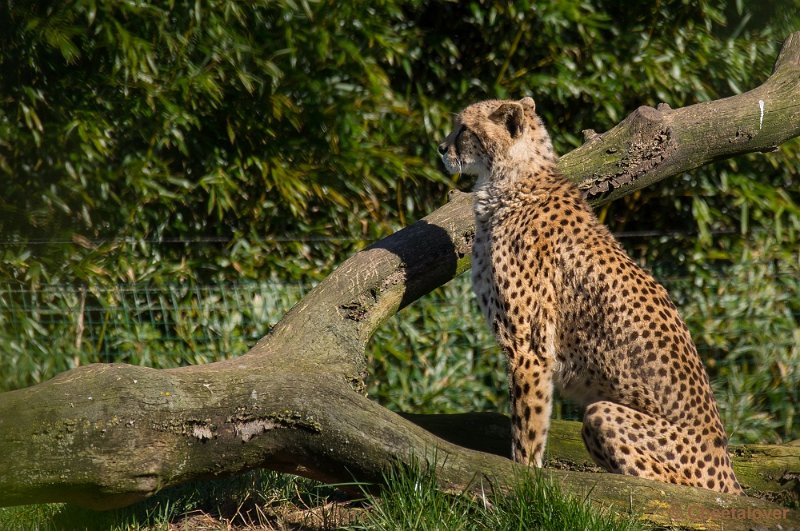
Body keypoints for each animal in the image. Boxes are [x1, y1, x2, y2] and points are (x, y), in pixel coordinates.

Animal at [438, 97, 744, 496]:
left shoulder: (529, 347)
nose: (441, 148)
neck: (512, 178)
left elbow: (528, 425)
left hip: (603, 413)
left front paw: (523, 477)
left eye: (464, 129)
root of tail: (729, 474)